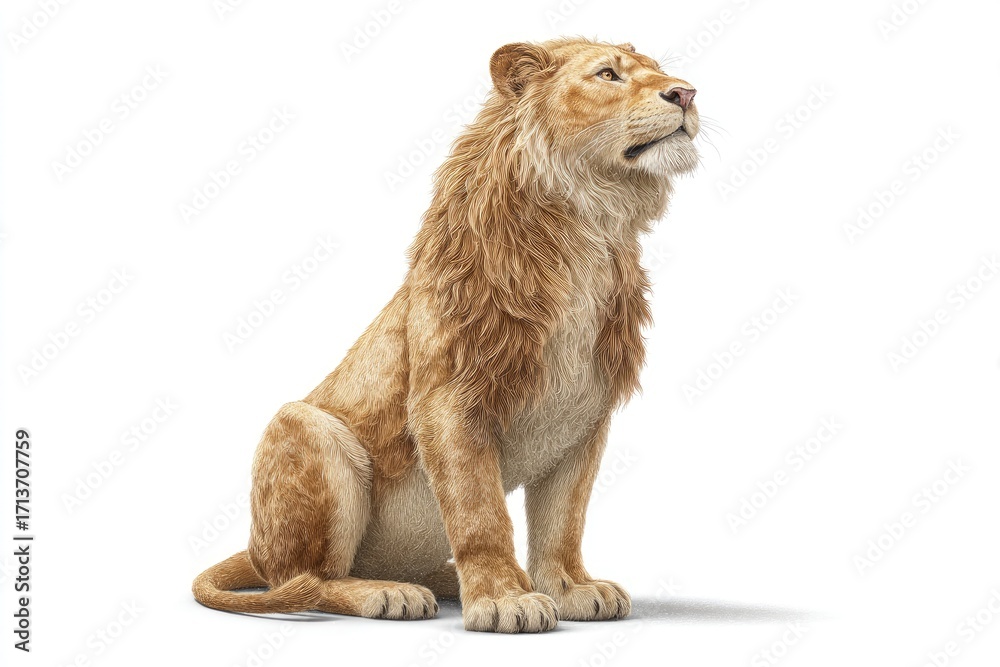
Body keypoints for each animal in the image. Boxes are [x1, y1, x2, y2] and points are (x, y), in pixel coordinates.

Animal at [192, 37, 699, 633]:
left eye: (660, 69)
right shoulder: (449, 402)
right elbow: (481, 514)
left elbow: (562, 520)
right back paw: (389, 593)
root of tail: (255, 548)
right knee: (307, 580)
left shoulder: (583, 417)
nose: (686, 93)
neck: (590, 228)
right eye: (607, 75)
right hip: (303, 427)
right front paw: (504, 600)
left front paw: (570, 587)